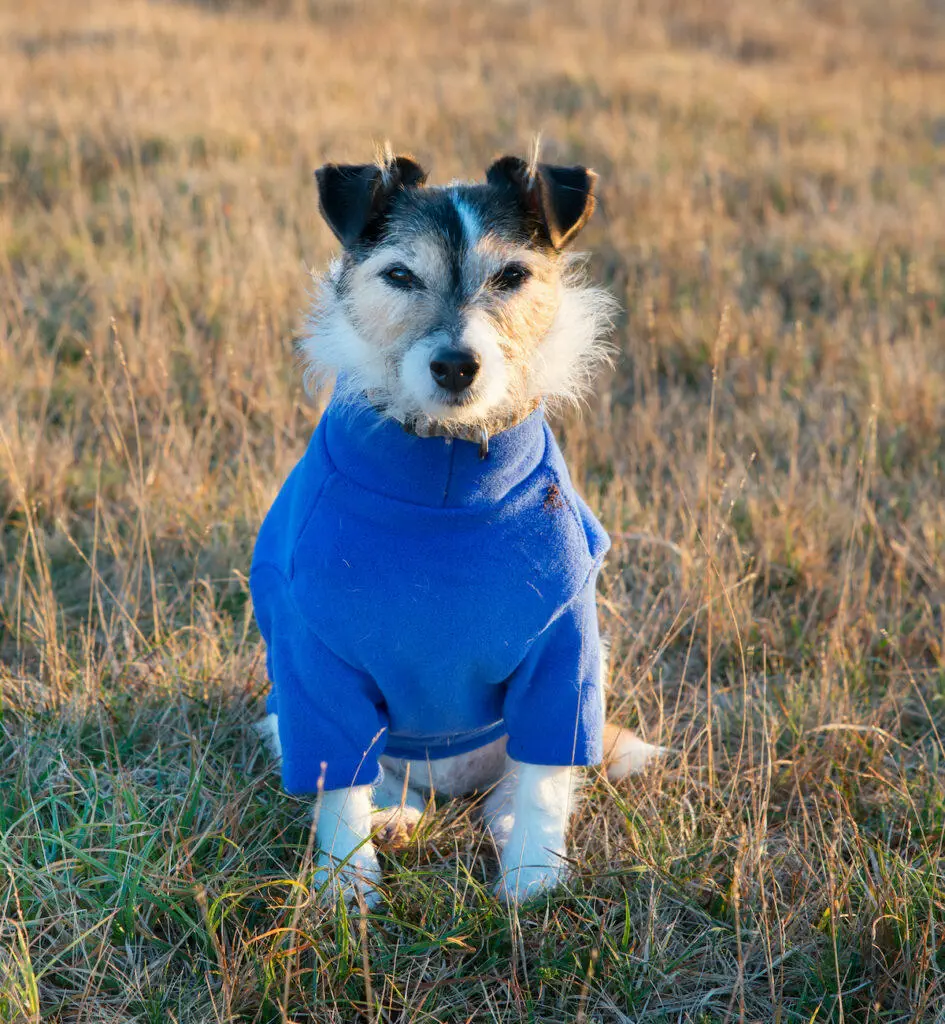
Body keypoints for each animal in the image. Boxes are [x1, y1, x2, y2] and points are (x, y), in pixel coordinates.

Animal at [250, 149, 663, 905]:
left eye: (512, 277)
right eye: (399, 275)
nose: (455, 366)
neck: (444, 473)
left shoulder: (565, 649)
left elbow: (543, 780)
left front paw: (533, 879)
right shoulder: (312, 662)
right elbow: (337, 785)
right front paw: (345, 883)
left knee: (522, 778)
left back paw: (502, 821)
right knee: (384, 779)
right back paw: (394, 818)